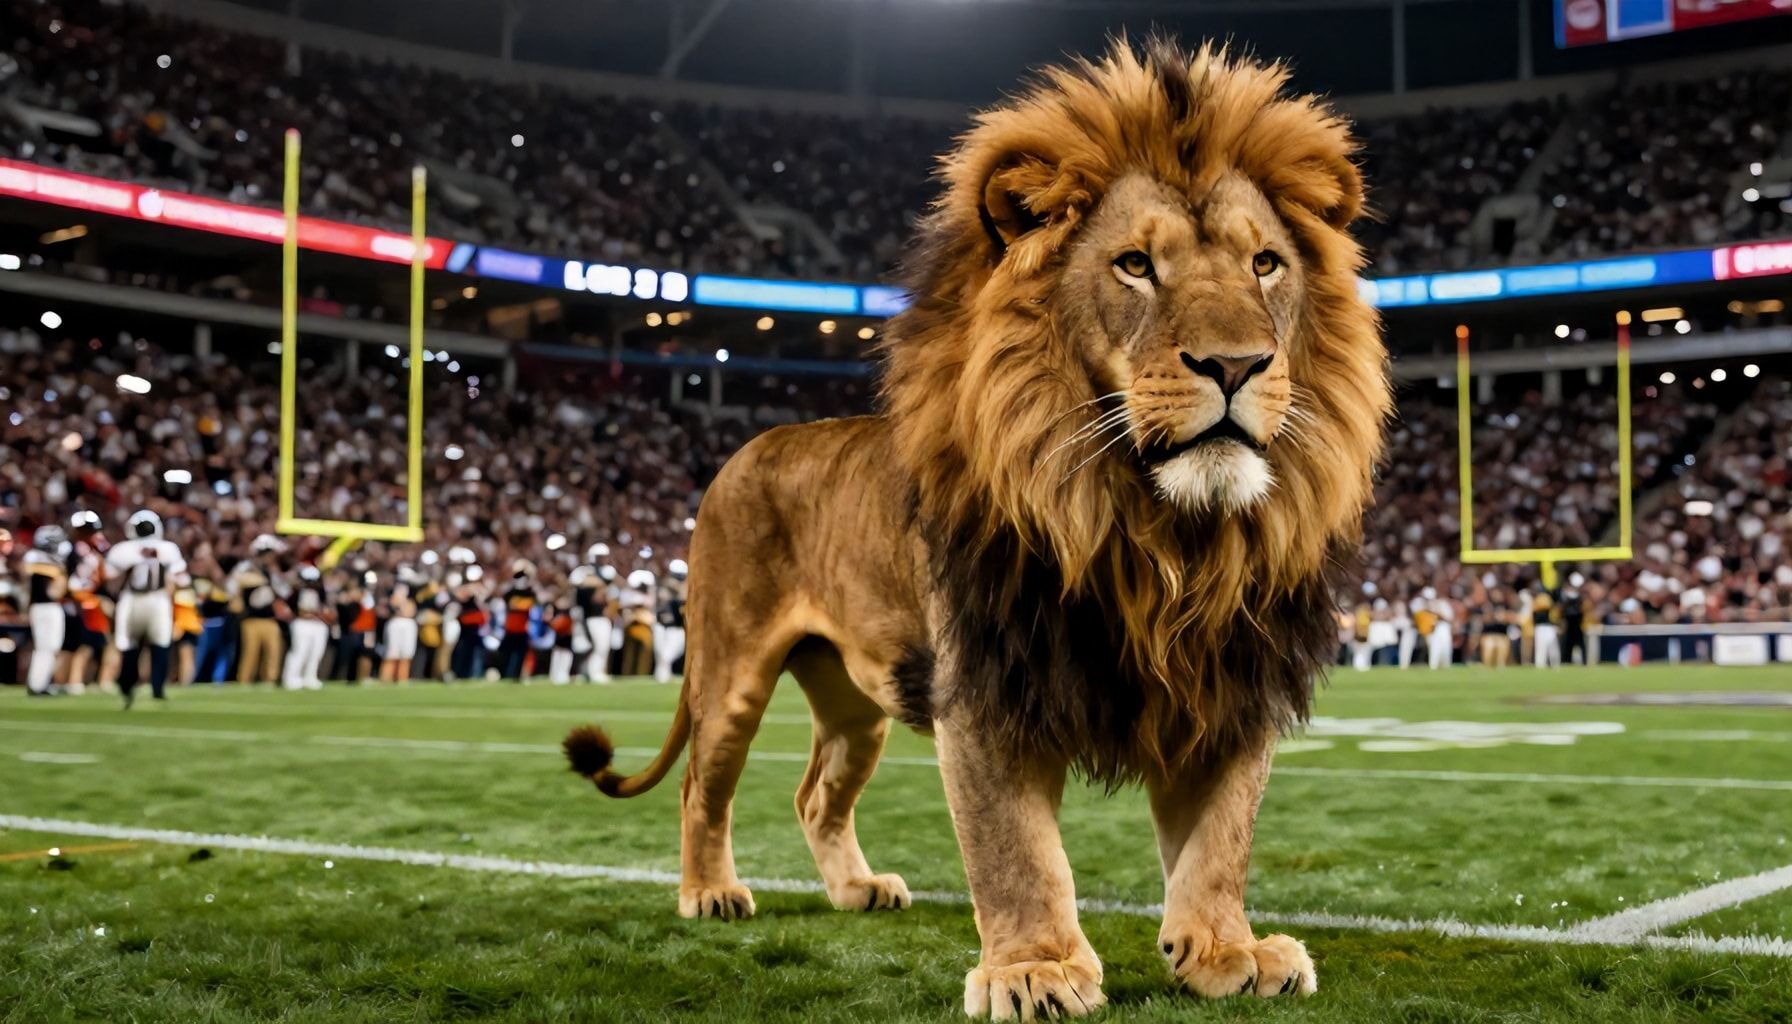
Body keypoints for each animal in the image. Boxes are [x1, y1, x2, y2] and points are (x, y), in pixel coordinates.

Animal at [564, 38, 1389, 1019]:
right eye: (1135, 266)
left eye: (1265, 264)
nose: (1236, 365)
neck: (1157, 529)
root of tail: (750, 444)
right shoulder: (988, 680)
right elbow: (1014, 849)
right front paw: (1034, 970)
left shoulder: (1230, 676)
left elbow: (1221, 837)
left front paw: (1227, 951)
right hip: (730, 672)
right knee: (703, 786)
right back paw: (711, 893)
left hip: (857, 701)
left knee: (815, 795)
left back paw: (856, 889)